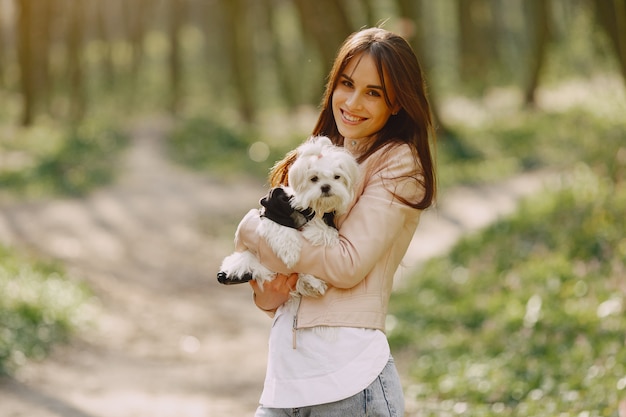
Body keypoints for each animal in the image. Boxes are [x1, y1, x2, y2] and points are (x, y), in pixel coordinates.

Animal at [217, 136, 358, 296]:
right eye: (314, 178)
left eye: (337, 177)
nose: (326, 187)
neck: (311, 205)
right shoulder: (274, 209)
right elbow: (282, 230)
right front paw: (291, 254)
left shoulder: (325, 216)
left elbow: (324, 228)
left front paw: (323, 234)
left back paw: (311, 282)